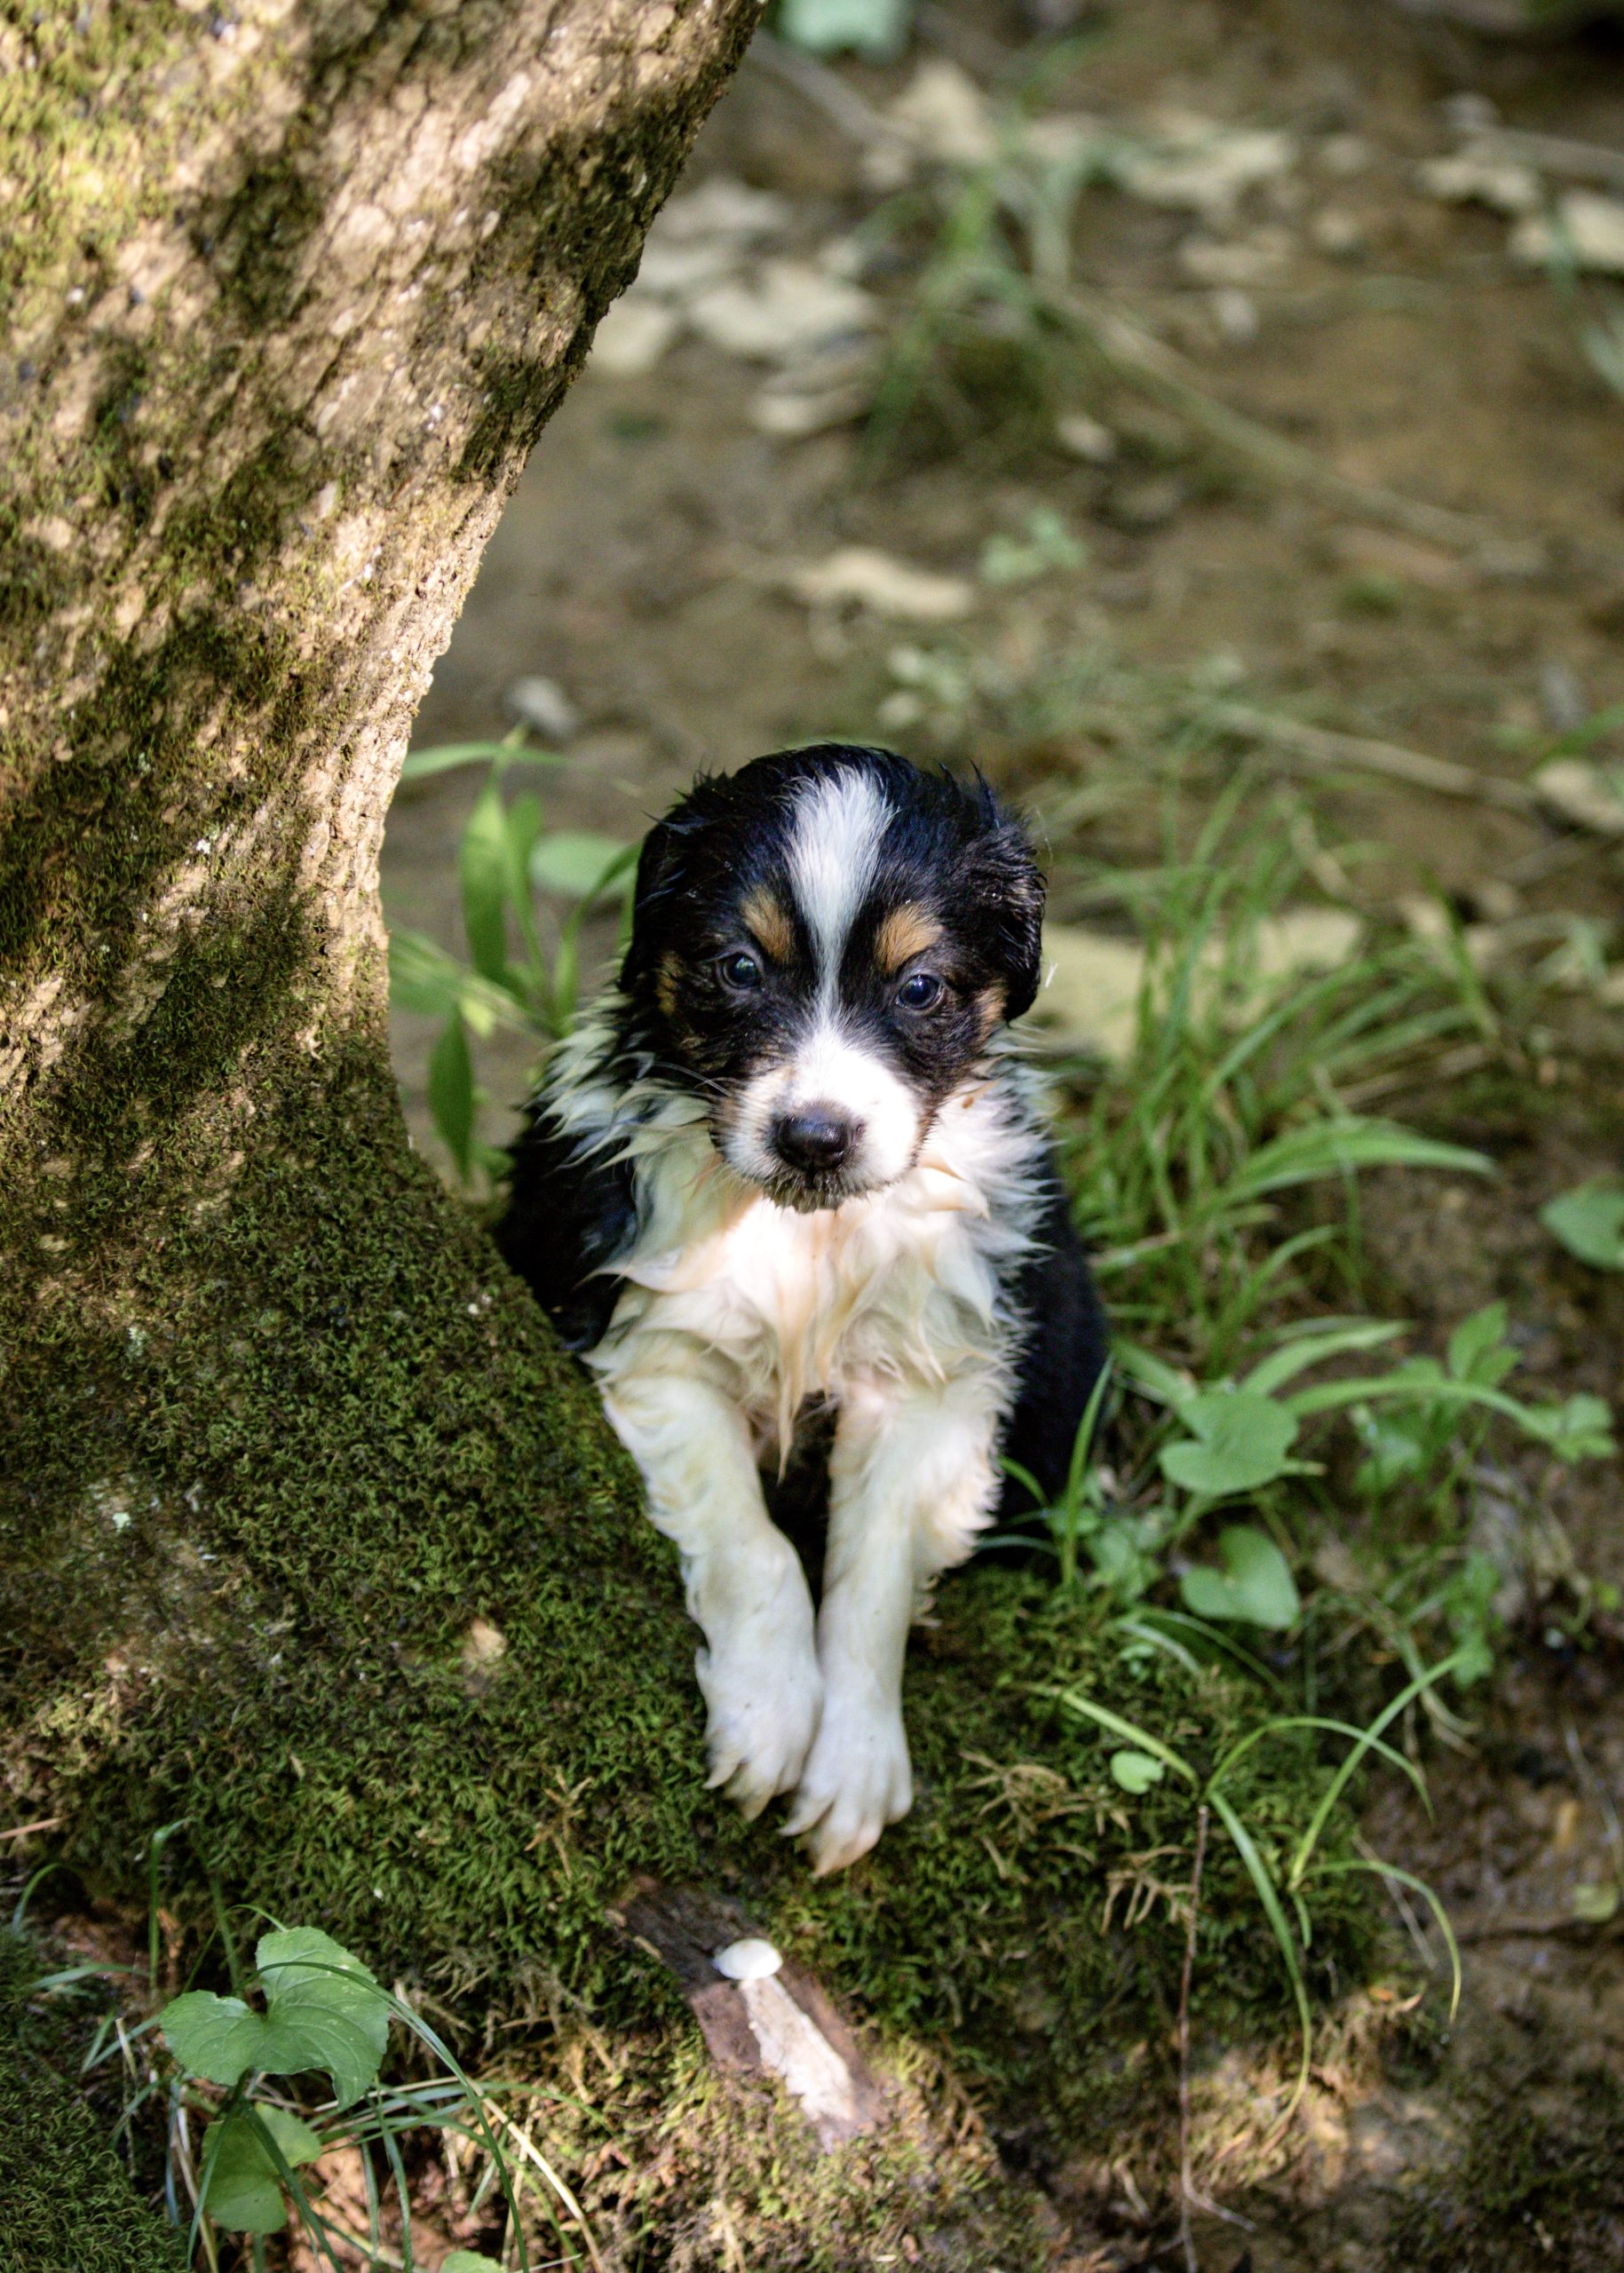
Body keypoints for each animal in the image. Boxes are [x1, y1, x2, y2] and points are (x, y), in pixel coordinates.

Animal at [497, 743, 1106, 1873]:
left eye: (920, 988)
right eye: (738, 968)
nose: (814, 1136)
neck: (805, 1229)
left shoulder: (928, 1380)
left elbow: (870, 1579)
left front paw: (854, 1765)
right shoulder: (650, 1345)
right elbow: (755, 1546)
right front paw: (768, 1715)